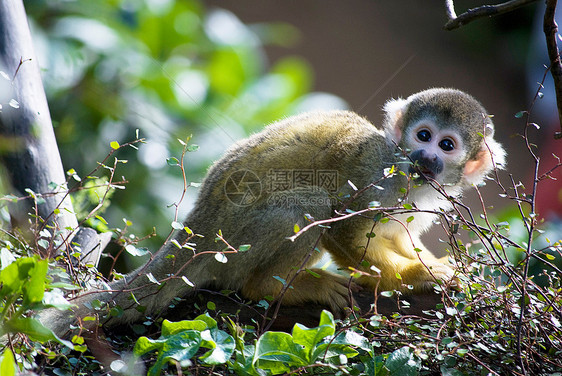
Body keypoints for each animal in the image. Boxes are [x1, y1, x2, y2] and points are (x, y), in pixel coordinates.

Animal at [39, 89, 504, 338]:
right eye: (423, 135)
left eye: (447, 145)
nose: (426, 157)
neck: (408, 176)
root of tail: (195, 230)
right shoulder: (378, 176)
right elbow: (344, 230)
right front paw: (413, 275)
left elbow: (395, 235)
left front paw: (434, 264)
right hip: (231, 243)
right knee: (310, 205)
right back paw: (276, 286)